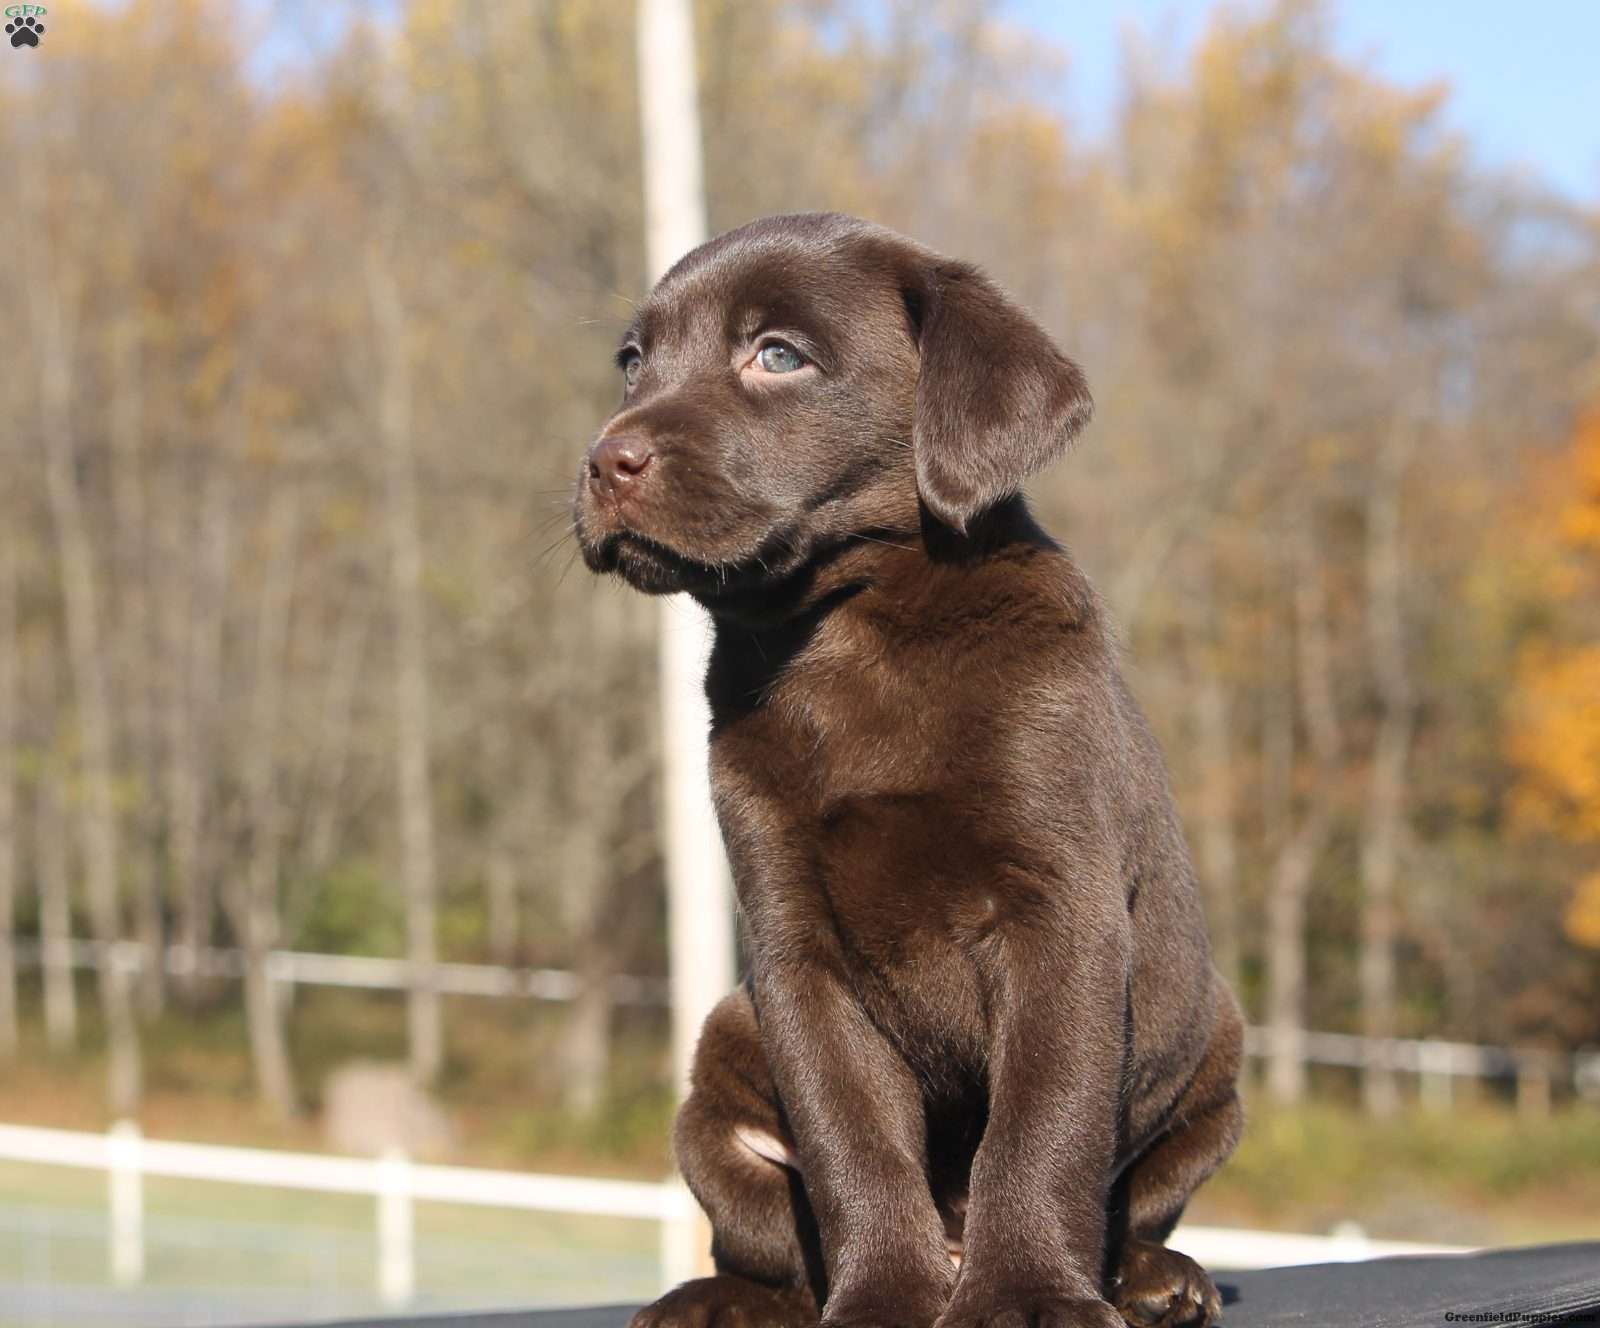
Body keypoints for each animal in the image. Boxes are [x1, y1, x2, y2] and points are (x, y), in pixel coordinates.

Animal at [573, 213, 1243, 1328]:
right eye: (633, 362)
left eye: (778, 356)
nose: (600, 459)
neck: (848, 631)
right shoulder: (796, 951)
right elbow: (852, 1140)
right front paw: (885, 1292)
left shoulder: (1060, 910)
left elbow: (1040, 1124)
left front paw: (1027, 1293)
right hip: (718, 1056)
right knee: (769, 1248)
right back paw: (712, 1296)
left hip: (1214, 1042)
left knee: (1137, 1202)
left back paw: (1152, 1277)